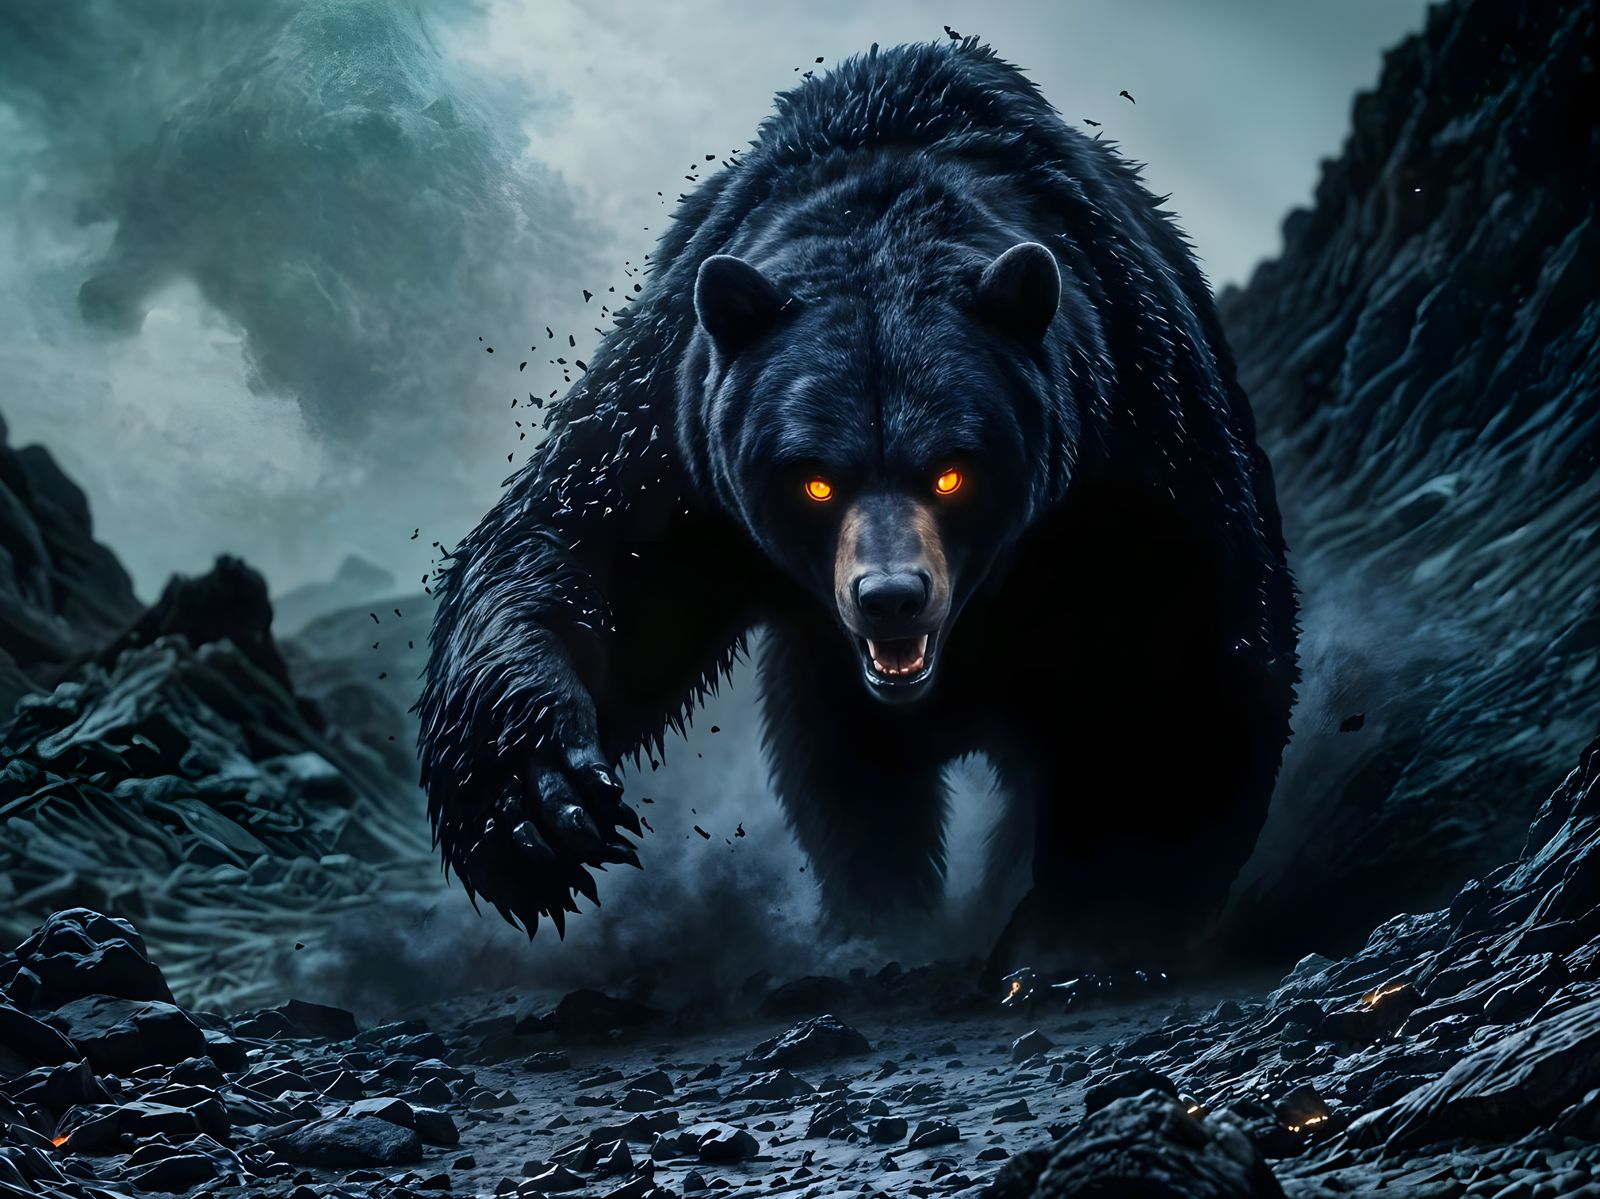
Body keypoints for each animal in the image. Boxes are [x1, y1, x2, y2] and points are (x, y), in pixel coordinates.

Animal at [415, 39, 1298, 977]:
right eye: (813, 478)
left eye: (953, 471)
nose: (892, 597)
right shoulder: (684, 434)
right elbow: (581, 551)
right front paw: (535, 807)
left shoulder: (1126, 432)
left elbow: (1193, 661)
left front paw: (1081, 928)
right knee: (843, 778)